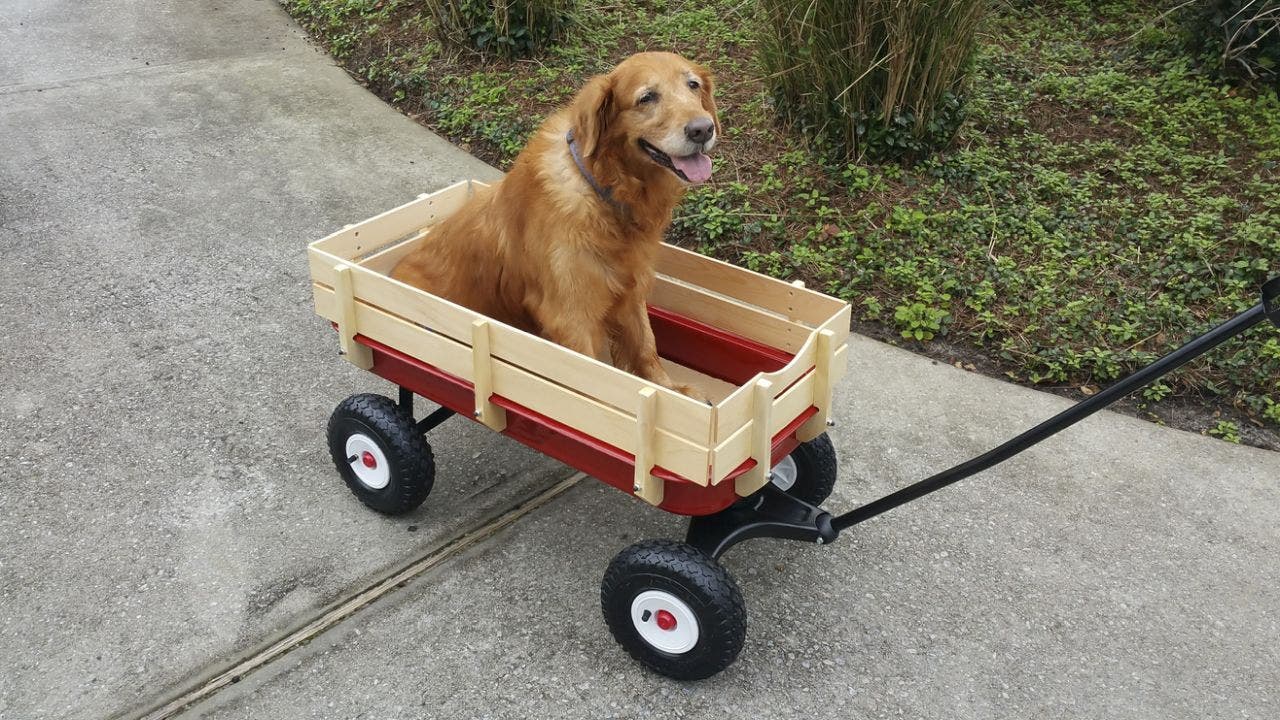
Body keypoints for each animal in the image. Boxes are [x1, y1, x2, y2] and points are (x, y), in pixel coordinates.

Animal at [389, 51, 721, 397]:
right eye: (647, 97)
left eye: (693, 85)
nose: (703, 129)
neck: (602, 187)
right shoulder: (570, 314)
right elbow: (588, 379)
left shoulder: (631, 288)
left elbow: (646, 345)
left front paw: (670, 390)